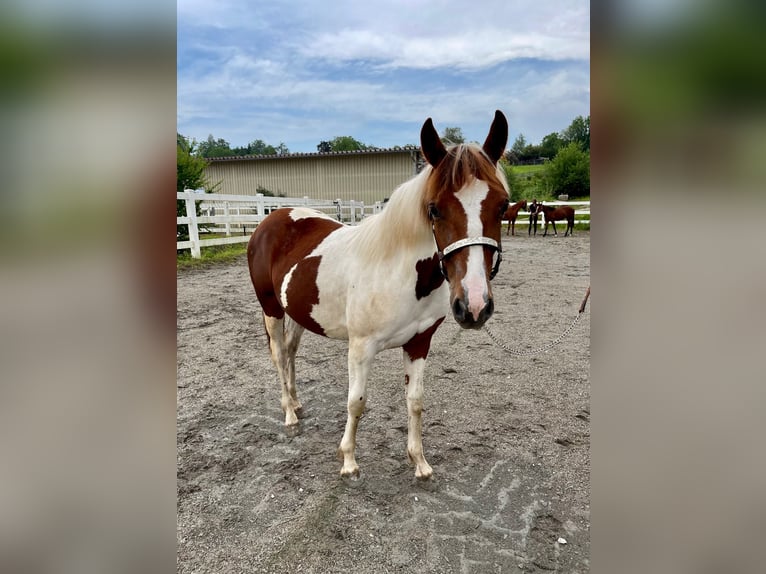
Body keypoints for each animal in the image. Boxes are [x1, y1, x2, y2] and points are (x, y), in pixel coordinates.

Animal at [246, 110, 510, 480]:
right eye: (434, 209)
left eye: (502, 206)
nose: (473, 306)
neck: (398, 272)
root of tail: (274, 217)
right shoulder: (360, 348)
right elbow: (356, 402)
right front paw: (348, 461)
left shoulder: (419, 343)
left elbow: (415, 401)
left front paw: (419, 462)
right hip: (271, 308)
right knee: (279, 356)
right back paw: (289, 414)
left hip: (298, 311)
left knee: (291, 352)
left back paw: (297, 402)